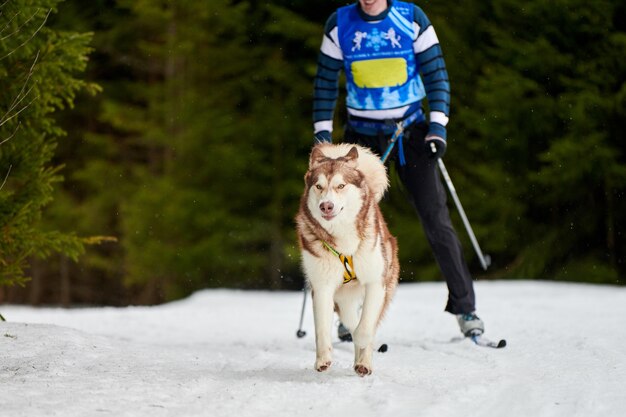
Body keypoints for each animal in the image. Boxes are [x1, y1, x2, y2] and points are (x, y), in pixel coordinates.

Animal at [294, 143, 398, 376]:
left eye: (341, 185)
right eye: (318, 186)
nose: (326, 206)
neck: (342, 239)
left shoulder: (375, 282)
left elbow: (365, 328)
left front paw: (363, 345)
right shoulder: (322, 287)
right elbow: (322, 329)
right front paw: (323, 359)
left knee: (365, 325)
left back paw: (364, 362)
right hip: (344, 301)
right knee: (351, 321)